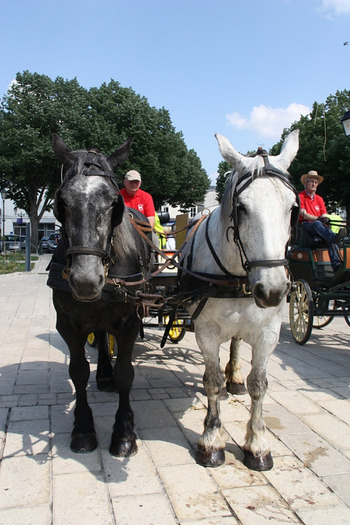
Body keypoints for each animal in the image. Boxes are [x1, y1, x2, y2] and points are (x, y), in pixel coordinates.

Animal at [49, 134, 152, 454]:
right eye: (62, 201)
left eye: (112, 202)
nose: (85, 281)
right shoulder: (67, 324)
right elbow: (78, 372)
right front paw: (83, 430)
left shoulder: (130, 322)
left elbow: (126, 373)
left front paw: (124, 433)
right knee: (102, 335)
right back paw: (104, 373)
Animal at [180, 128, 298, 470]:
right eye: (242, 207)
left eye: (293, 208)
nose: (272, 290)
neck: (234, 276)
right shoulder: (205, 331)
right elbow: (211, 381)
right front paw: (211, 440)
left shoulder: (269, 332)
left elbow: (259, 384)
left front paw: (257, 444)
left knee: (234, 344)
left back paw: (233, 377)